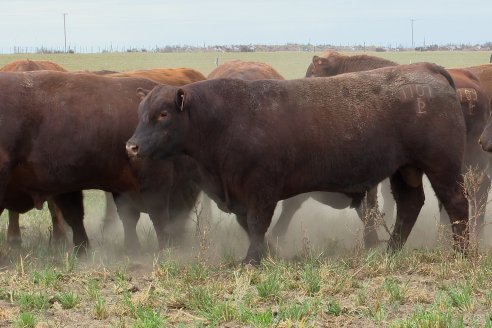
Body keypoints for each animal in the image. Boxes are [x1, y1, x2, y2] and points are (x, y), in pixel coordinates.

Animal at [127, 63, 468, 264]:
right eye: (141, 112)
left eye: (163, 114)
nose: (131, 146)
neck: (224, 118)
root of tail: (424, 69)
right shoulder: (238, 196)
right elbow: (249, 226)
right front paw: (267, 253)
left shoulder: (261, 191)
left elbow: (256, 224)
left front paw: (251, 261)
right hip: (404, 169)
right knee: (410, 204)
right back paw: (391, 251)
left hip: (442, 167)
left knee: (455, 203)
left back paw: (462, 252)